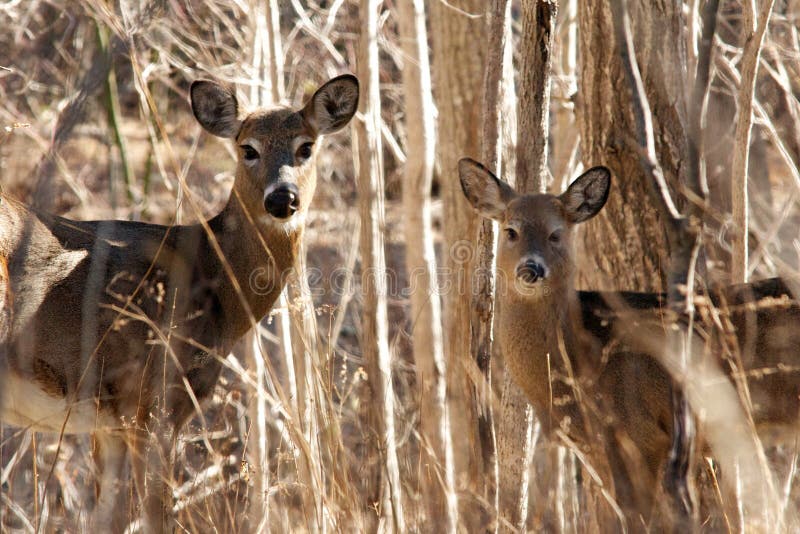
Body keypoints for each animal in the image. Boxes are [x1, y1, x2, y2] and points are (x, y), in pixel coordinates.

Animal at [0, 73, 360, 532]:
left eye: (306, 147)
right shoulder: (155, 401)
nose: (282, 198)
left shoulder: (109, 423)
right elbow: (158, 516)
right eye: (248, 149)